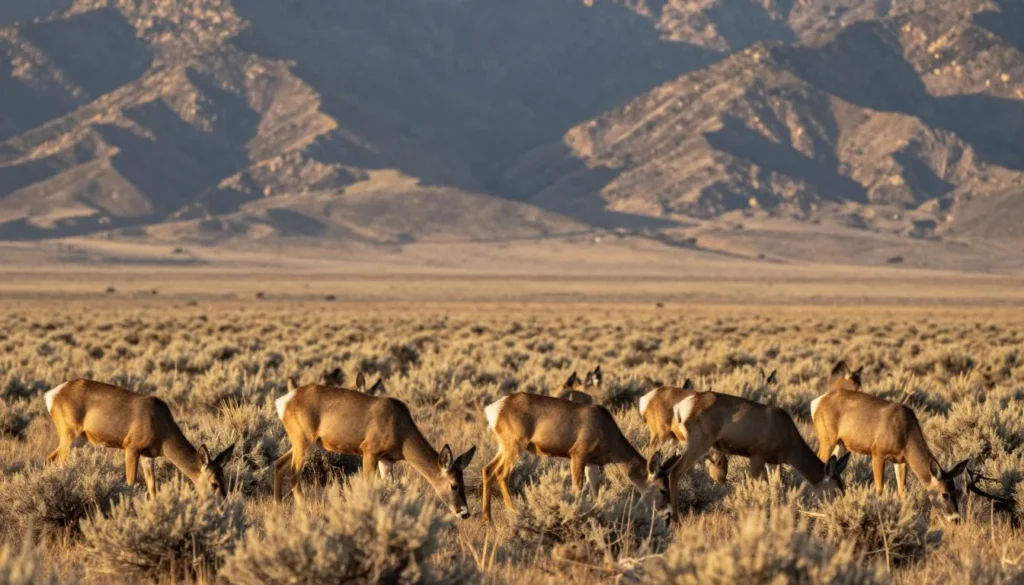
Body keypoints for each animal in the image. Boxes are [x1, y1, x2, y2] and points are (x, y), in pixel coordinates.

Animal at [44, 379, 236, 499]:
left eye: (225, 479)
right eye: (213, 483)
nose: (223, 503)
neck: (163, 431)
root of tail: (51, 395)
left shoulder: (148, 455)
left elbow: (152, 487)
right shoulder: (131, 447)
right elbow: (131, 483)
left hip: (79, 439)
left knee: (50, 458)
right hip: (69, 432)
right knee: (59, 462)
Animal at [273, 379, 476, 518]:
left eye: (464, 483)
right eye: (454, 485)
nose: (464, 513)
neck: (402, 434)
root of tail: (282, 402)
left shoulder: (386, 459)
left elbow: (389, 487)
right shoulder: (370, 450)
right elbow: (368, 486)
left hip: (301, 441)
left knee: (278, 464)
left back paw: (278, 508)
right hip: (303, 439)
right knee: (293, 474)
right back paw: (304, 511)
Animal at [480, 392, 679, 524]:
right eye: (662, 490)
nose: (669, 514)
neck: (610, 437)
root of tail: (493, 409)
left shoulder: (592, 461)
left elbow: (595, 489)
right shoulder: (578, 453)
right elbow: (578, 489)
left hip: (505, 445)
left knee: (488, 469)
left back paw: (488, 519)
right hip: (515, 443)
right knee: (501, 473)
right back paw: (513, 512)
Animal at [667, 389, 850, 522]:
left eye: (844, 491)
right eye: (836, 492)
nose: (836, 515)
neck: (789, 443)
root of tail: (681, 407)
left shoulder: (773, 461)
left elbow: (776, 489)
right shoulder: (757, 455)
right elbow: (755, 488)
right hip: (699, 441)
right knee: (675, 471)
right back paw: (676, 520)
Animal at [811, 361, 970, 521]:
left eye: (957, 491)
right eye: (945, 494)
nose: (956, 518)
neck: (906, 433)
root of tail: (816, 403)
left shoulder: (901, 460)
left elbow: (902, 491)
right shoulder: (877, 453)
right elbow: (879, 489)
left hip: (839, 443)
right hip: (827, 438)